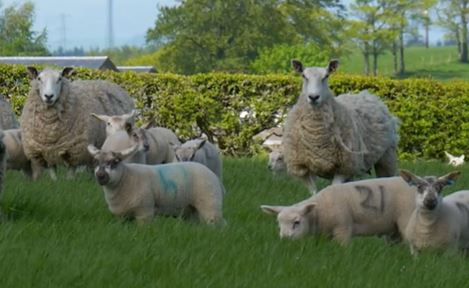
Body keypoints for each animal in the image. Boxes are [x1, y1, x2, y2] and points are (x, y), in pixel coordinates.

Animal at [89, 144, 227, 225]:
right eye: (95, 162)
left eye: (115, 161)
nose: (101, 175)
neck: (126, 177)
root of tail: (213, 175)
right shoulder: (122, 217)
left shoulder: (144, 212)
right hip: (192, 209)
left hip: (210, 205)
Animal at [282, 59, 398, 194]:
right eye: (304, 76)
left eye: (326, 76)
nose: (313, 97)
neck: (315, 134)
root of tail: (368, 95)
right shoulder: (302, 168)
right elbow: (314, 194)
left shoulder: (345, 167)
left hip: (386, 157)